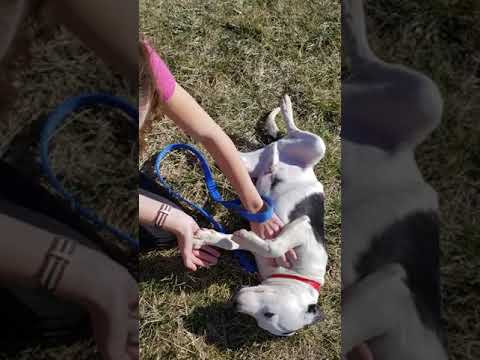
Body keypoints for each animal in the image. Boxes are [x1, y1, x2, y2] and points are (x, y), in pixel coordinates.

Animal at [193, 95, 328, 338]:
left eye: (262, 319)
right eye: (269, 314)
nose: (235, 304)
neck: (298, 277)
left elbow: (232, 242)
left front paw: (209, 237)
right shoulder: (303, 227)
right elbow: (274, 246)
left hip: (244, 164)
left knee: (227, 150)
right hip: (317, 145)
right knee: (295, 130)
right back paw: (286, 108)